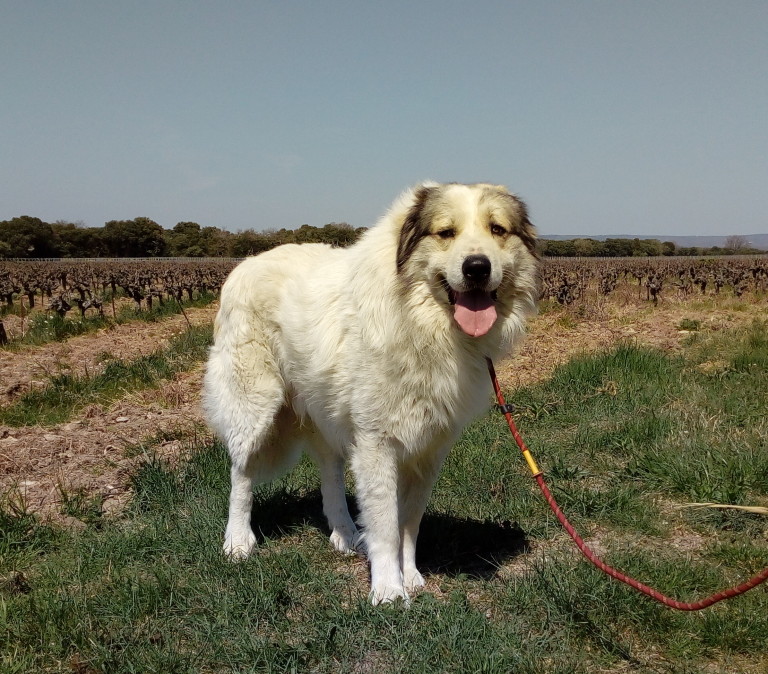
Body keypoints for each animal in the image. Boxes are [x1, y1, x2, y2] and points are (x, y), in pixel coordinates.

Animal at [204, 181, 540, 600]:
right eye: (446, 233)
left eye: (497, 230)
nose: (477, 267)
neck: (425, 326)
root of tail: (249, 261)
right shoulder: (377, 442)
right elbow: (384, 524)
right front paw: (388, 590)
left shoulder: (428, 450)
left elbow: (408, 523)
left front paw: (409, 576)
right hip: (255, 407)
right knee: (241, 473)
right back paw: (238, 541)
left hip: (325, 410)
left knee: (330, 471)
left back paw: (345, 534)